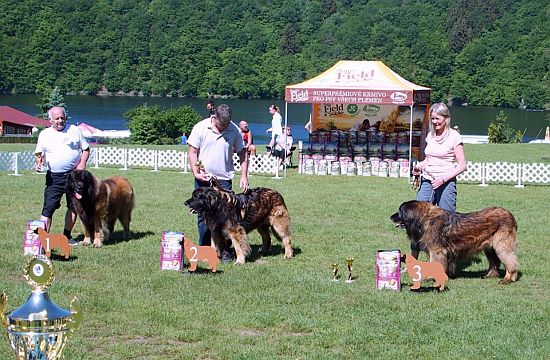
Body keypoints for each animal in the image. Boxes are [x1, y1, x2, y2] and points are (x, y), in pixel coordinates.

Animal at [390, 200, 520, 284]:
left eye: (400, 212)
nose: (390, 217)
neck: (424, 218)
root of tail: (509, 214)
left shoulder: (436, 251)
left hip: (501, 245)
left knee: (510, 262)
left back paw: (508, 279)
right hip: (489, 247)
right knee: (494, 262)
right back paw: (489, 275)